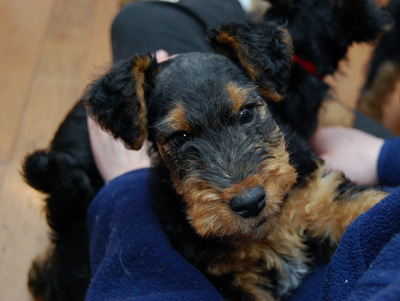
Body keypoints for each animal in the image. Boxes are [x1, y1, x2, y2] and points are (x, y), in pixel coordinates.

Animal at [24, 15, 388, 300]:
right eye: (179, 137)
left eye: (246, 112)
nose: (250, 202)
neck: (268, 229)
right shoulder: (228, 277)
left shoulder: (321, 193)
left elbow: (371, 209)